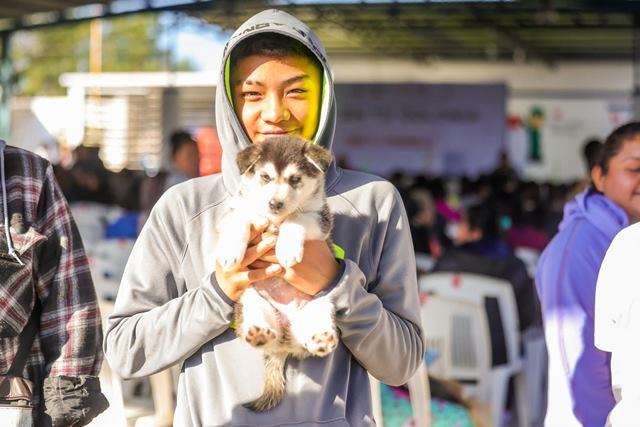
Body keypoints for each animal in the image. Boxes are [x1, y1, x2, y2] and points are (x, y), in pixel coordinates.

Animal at [216, 135, 338, 411]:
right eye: (265, 177)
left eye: (294, 179)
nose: (274, 204)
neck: (274, 220)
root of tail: (283, 340)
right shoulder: (237, 210)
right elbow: (240, 219)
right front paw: (230, 251)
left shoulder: (321, 218)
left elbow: (297, 219)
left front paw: (288, 247)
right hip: (250, 300)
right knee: (258, 326)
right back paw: (260, 332)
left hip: (320, 302)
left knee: (308, 334)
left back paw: (321, 340)